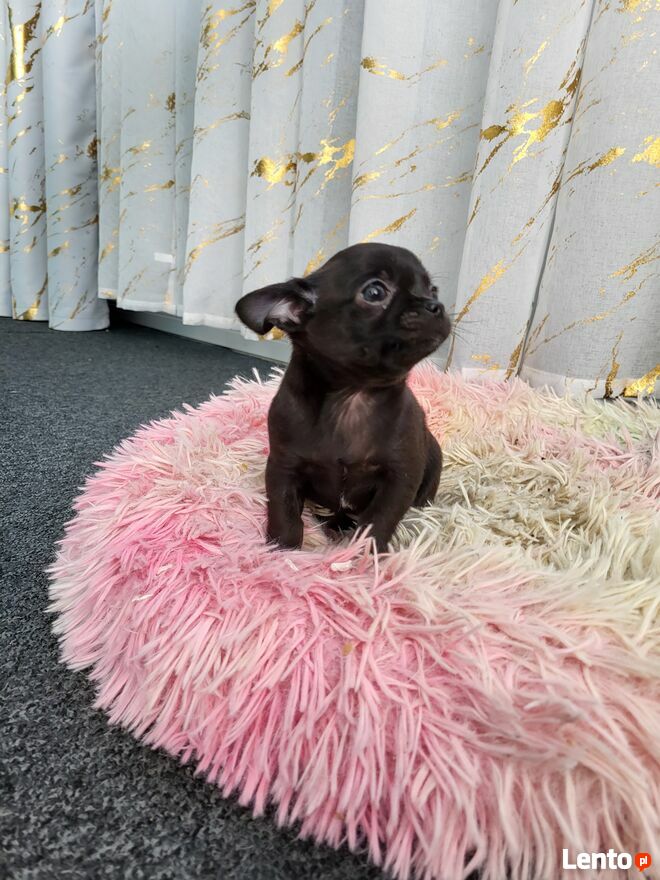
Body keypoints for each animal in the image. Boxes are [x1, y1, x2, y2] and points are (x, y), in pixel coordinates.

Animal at [235, 242, 451, 553]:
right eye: (375, 292)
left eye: (433, 290)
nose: (436, 305)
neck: (353, 397)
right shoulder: (283, 468)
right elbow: (284, 514)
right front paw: (281, 552)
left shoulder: (400, 477)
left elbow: (379, 520)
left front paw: (366, 554)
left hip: (432, 459)